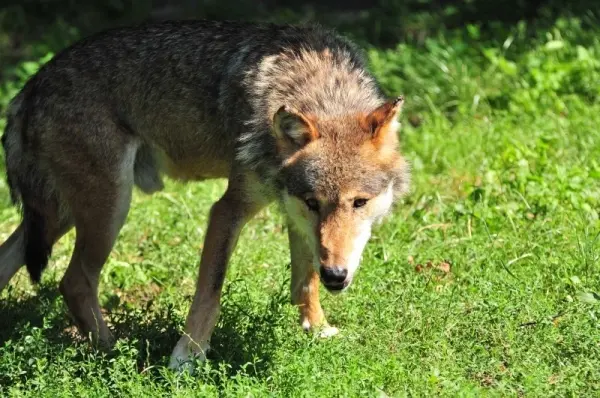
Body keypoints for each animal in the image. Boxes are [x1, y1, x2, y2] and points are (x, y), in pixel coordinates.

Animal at [0, 20, 408, 370]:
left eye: (359, 202)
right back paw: (114, 352)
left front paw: (318, 330)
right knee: (75, 282)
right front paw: (187, 357)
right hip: (108, 208)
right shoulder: (228, 210)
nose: (335, 276)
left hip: (63, 215)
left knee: (16, 260)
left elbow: (304, 281)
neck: (318, 89)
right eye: (314, 203)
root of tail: (27, 90)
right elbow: (210, 291)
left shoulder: (293, 214)